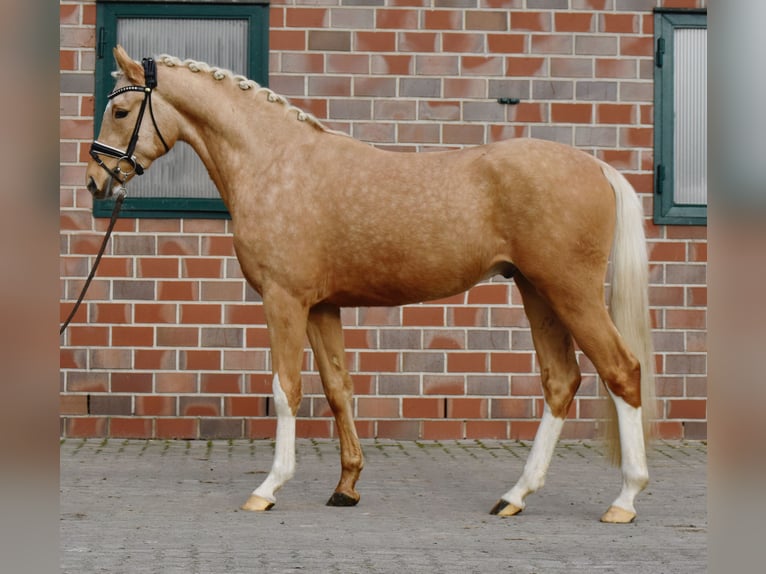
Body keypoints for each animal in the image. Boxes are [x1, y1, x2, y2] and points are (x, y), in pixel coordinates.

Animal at [88, 47, 656, 528]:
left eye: (121, 111)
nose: (97, 181)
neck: (275, 162)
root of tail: (596, 166)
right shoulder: (322, 307)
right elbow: (338, 389)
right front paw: (346, 487)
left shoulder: (283, 300)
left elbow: (286, 389)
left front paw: (269, 488)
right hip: (539, 292)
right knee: (561, 382)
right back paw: (515, 496)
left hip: (570, 292)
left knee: (622, 371)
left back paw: (624, 500)